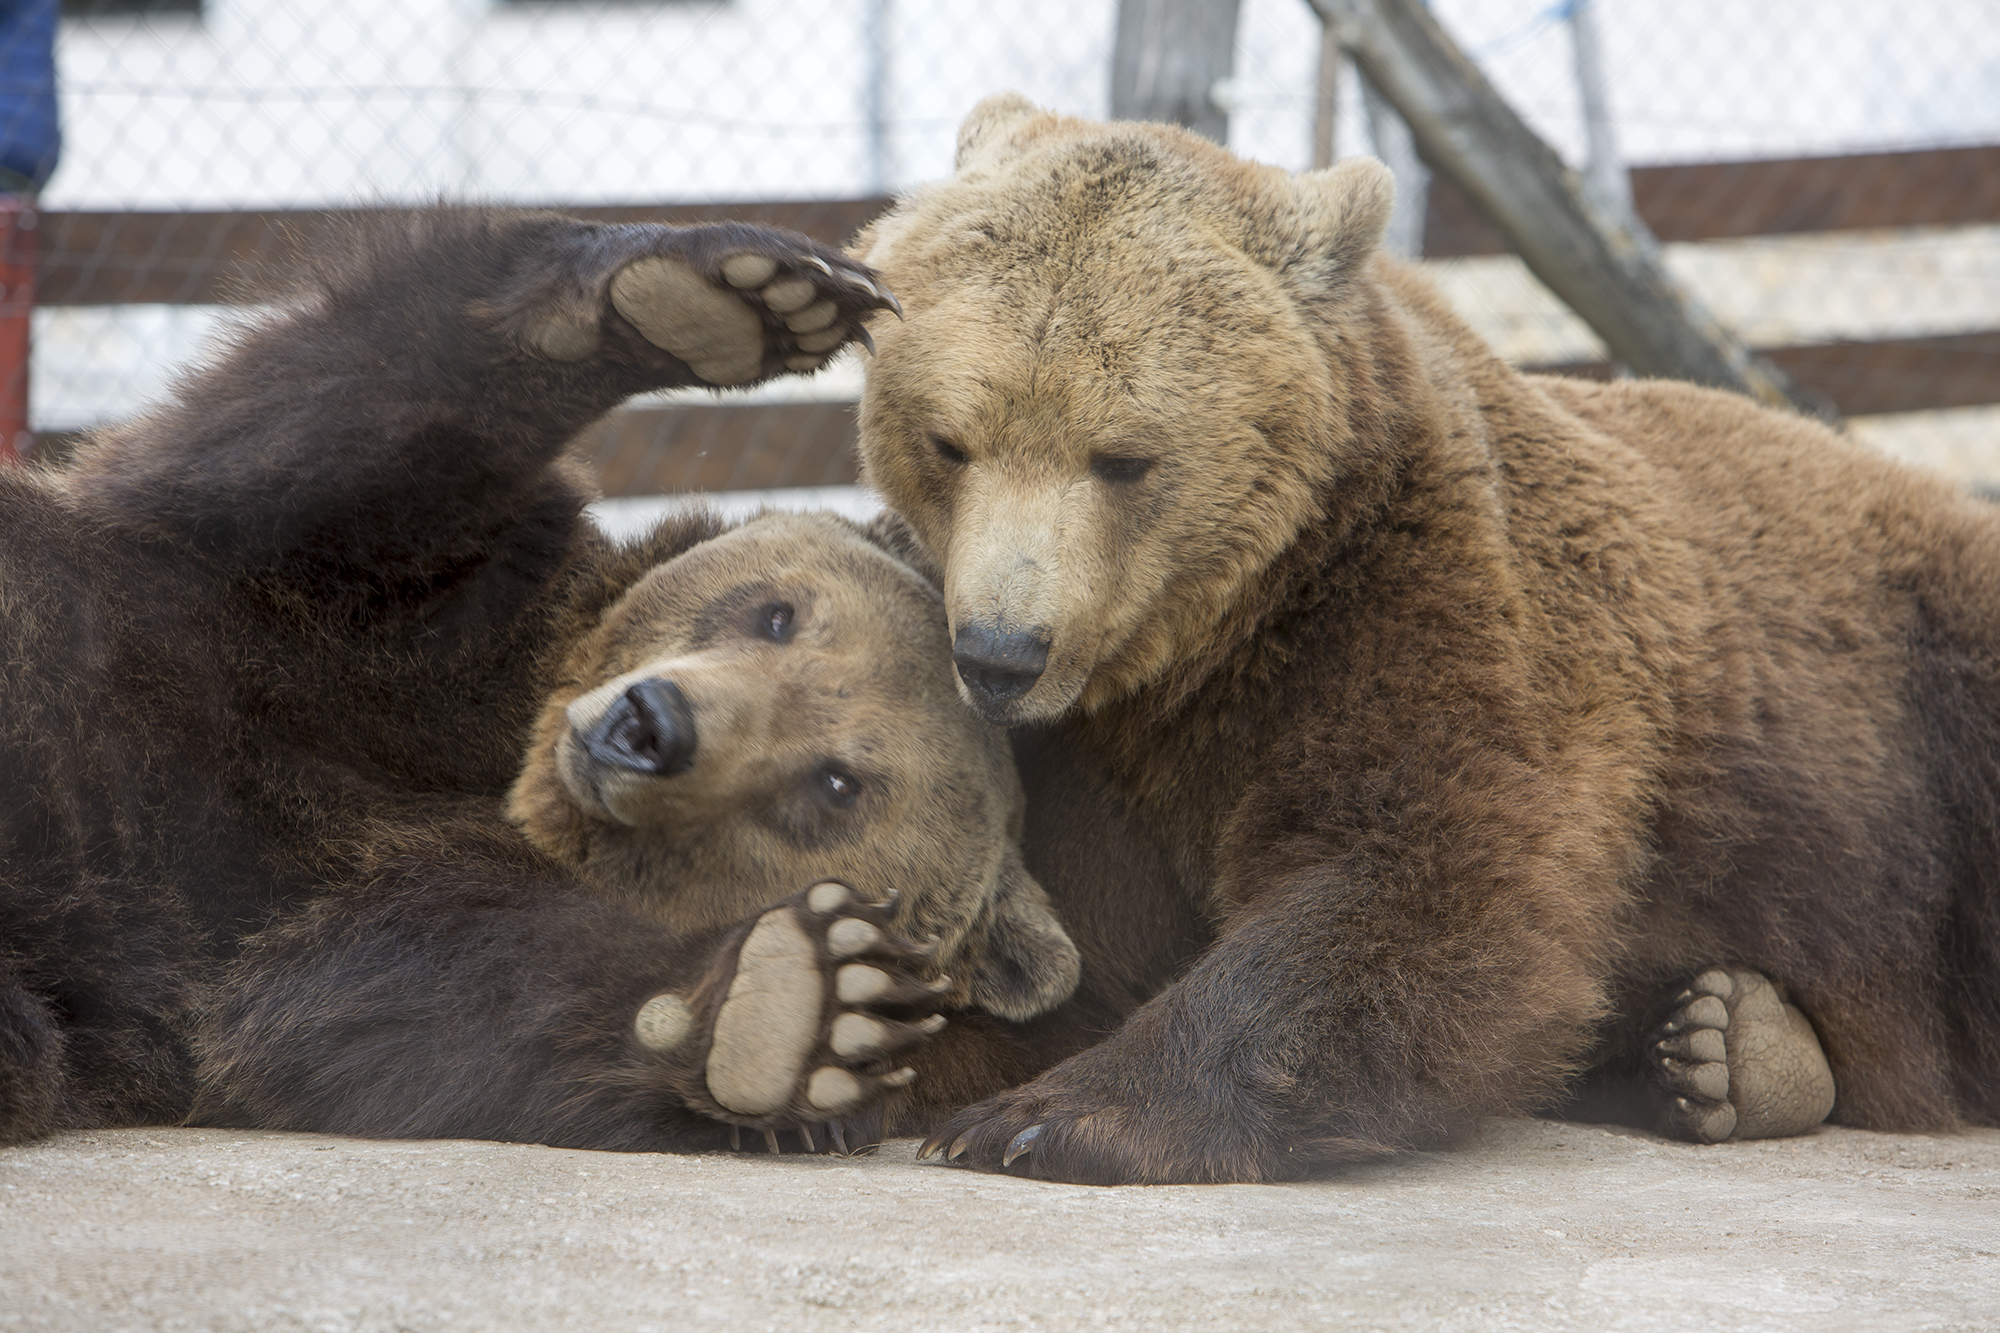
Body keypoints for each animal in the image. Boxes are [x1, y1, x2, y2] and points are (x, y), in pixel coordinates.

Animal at [0, 208, 1096, 1152]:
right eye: (777, 613)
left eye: (835, 784)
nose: (650, 725)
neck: (507, 762)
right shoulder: (378, 624)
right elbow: (314, 446)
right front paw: (719, 294)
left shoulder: (308, 901)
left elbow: (394, 995)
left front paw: (788, 1007)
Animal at [848, 96, 2000, 1184]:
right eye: (949, 440)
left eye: (1123, 456)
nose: (1002, 652)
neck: (1205, 646)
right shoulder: (1082, 760)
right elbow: (1056, 949)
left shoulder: (1425, 605)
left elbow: (1428, 874)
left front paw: (1050, 1118)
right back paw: (1734, 1046)